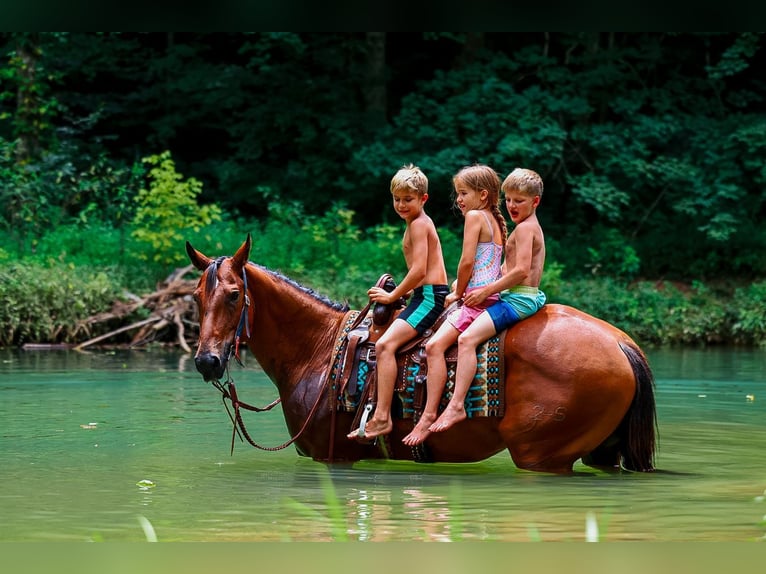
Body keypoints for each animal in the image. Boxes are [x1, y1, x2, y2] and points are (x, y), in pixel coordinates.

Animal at [185, 234, 657, 474]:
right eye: (195, 296)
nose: (207, 361)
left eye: (233, 295)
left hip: (543, 456)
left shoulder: (333, 457)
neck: (317, 349)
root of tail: (622, 342)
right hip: (602, 451)